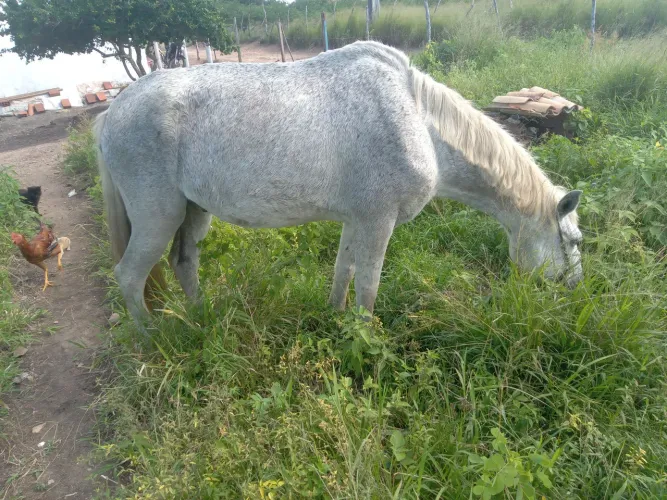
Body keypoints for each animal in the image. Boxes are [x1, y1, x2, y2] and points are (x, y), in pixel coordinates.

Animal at [94, 41, 584, 328]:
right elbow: (369, 284)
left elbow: (343, 270)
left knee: (184, 263)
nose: (575, 292)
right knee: (130, 275)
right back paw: (152, 338)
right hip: (158, 217)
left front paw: (335, 318)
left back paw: (202, 318)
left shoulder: (357, 219)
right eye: (576, 241)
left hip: (193, 213)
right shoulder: (380, 222)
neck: (417, 120)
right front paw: (364, 341)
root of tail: (113, 111)